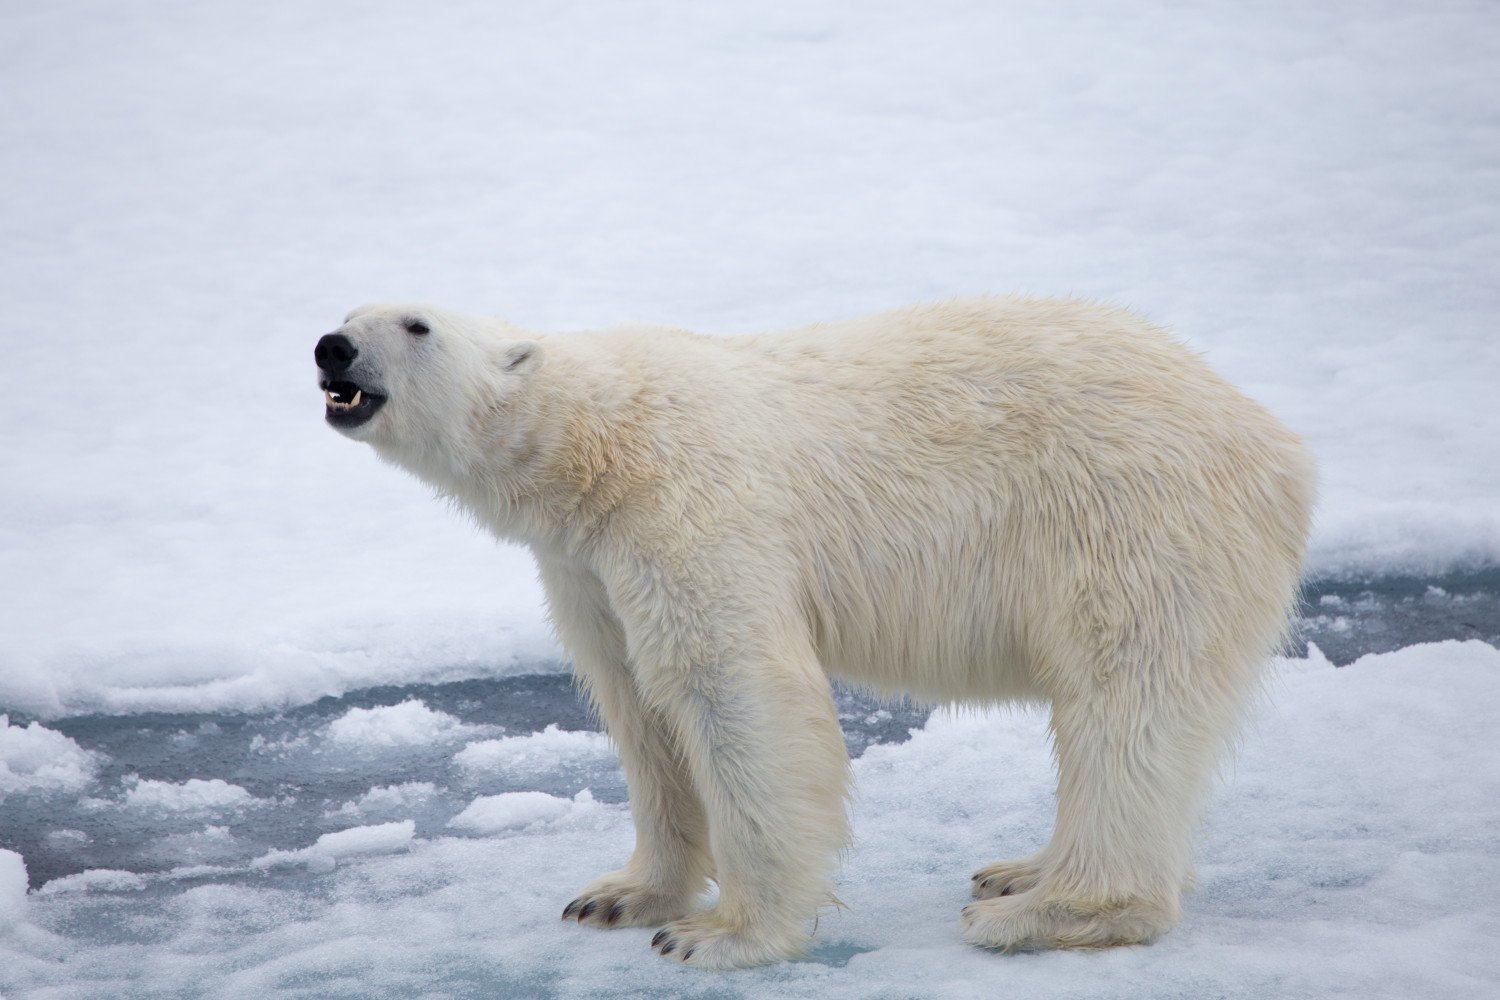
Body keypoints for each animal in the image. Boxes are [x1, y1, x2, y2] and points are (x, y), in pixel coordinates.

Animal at [313, 296, 1314, 971]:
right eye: (348, 311)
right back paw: (1017, 872)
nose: (332, 345)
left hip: (1133, 521)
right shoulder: (586, 566)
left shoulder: (692, 507)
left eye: (415, 324)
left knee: (1124, 704)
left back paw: (1045, 910)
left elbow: (734, 689)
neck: (598, 442)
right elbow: (637, 707)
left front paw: (719, 934)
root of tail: (1276, 443)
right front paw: (619, 895)